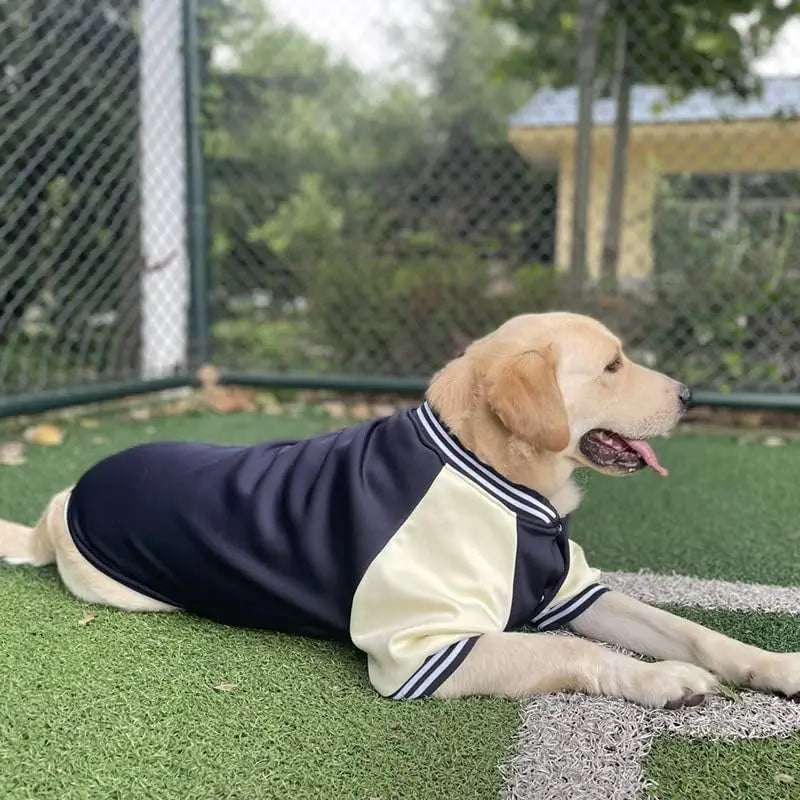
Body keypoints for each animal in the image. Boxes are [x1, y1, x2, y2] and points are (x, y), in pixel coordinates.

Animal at [1, 312, 800, 708]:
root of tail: (63, 497)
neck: (504, 482)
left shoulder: (573, 592)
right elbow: (577, 653)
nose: (692, 394)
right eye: (611, 366)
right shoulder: (427, 650)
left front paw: (771, 665)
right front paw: (662, 681)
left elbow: (690, 631)